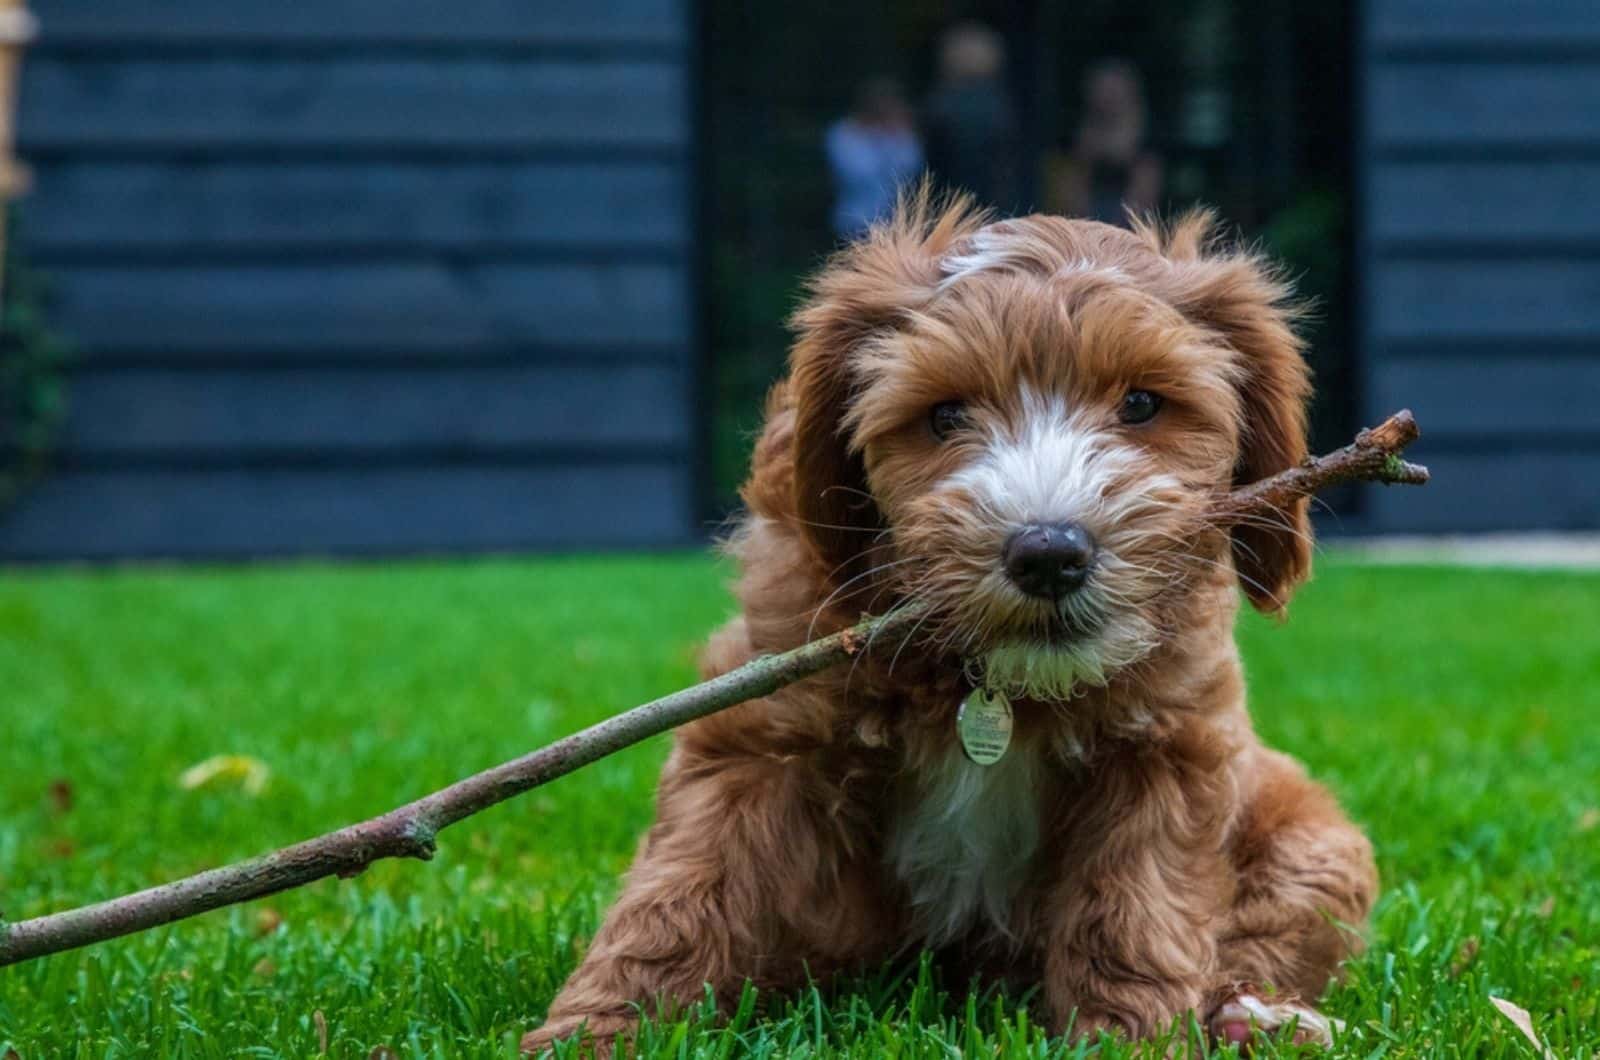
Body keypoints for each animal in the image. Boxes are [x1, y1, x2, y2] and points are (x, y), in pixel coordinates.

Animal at [521, 196, 1376, 1056]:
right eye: (945, 416)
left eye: (1140, 404)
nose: (1049, 553)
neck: (993, 679)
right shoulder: (760, 732)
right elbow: (683, 887)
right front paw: (596, 1030)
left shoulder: (1169, 746)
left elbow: (1134, 913)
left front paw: (1127, 1039)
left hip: (1314, 837)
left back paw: (1259, 1014)